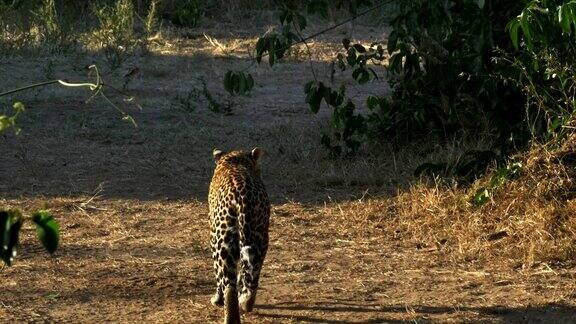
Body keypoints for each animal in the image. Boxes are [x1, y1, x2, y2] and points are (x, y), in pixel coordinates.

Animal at [207, 147, 270, 324]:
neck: (234, 160)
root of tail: (242, 198)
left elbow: (218, 275)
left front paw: (217, 299)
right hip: (260, 237)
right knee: (253, 275)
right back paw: (246, 303)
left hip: (223, 240)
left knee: (228, 283)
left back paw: (230, 314)